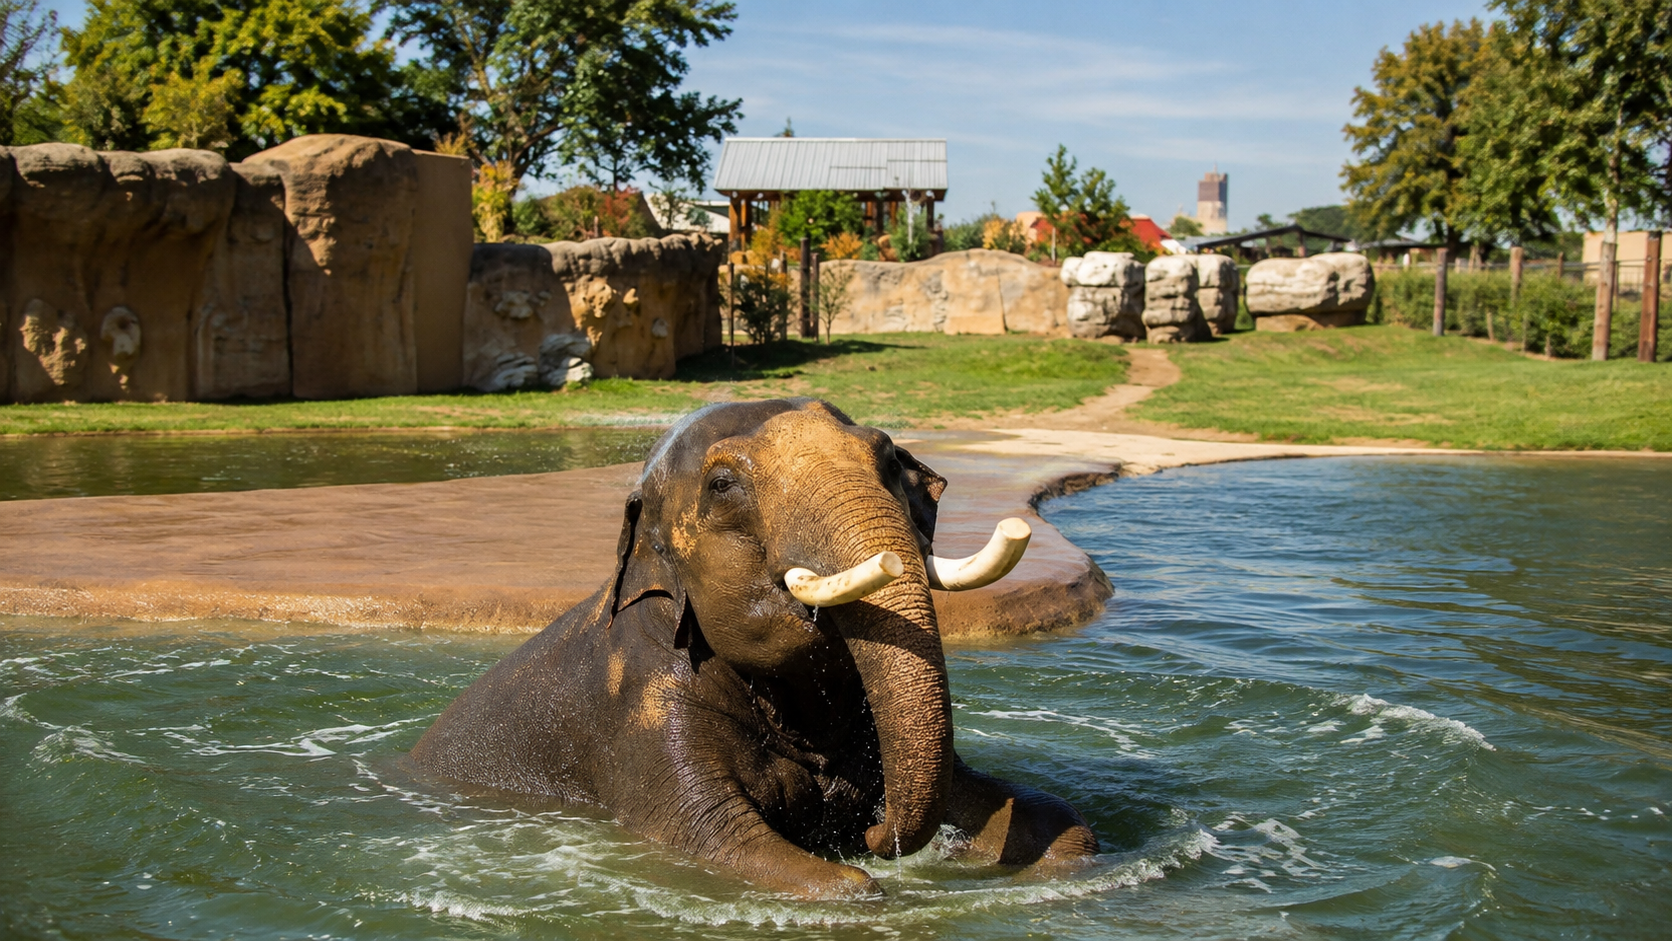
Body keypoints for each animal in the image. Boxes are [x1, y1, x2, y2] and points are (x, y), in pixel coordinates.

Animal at [408, 398, 1097, 898]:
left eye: (888, 458)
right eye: (721, 485)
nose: (874, 831)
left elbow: (1055, 825)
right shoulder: (642, 707)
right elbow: (718, 839)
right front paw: (857, 881)